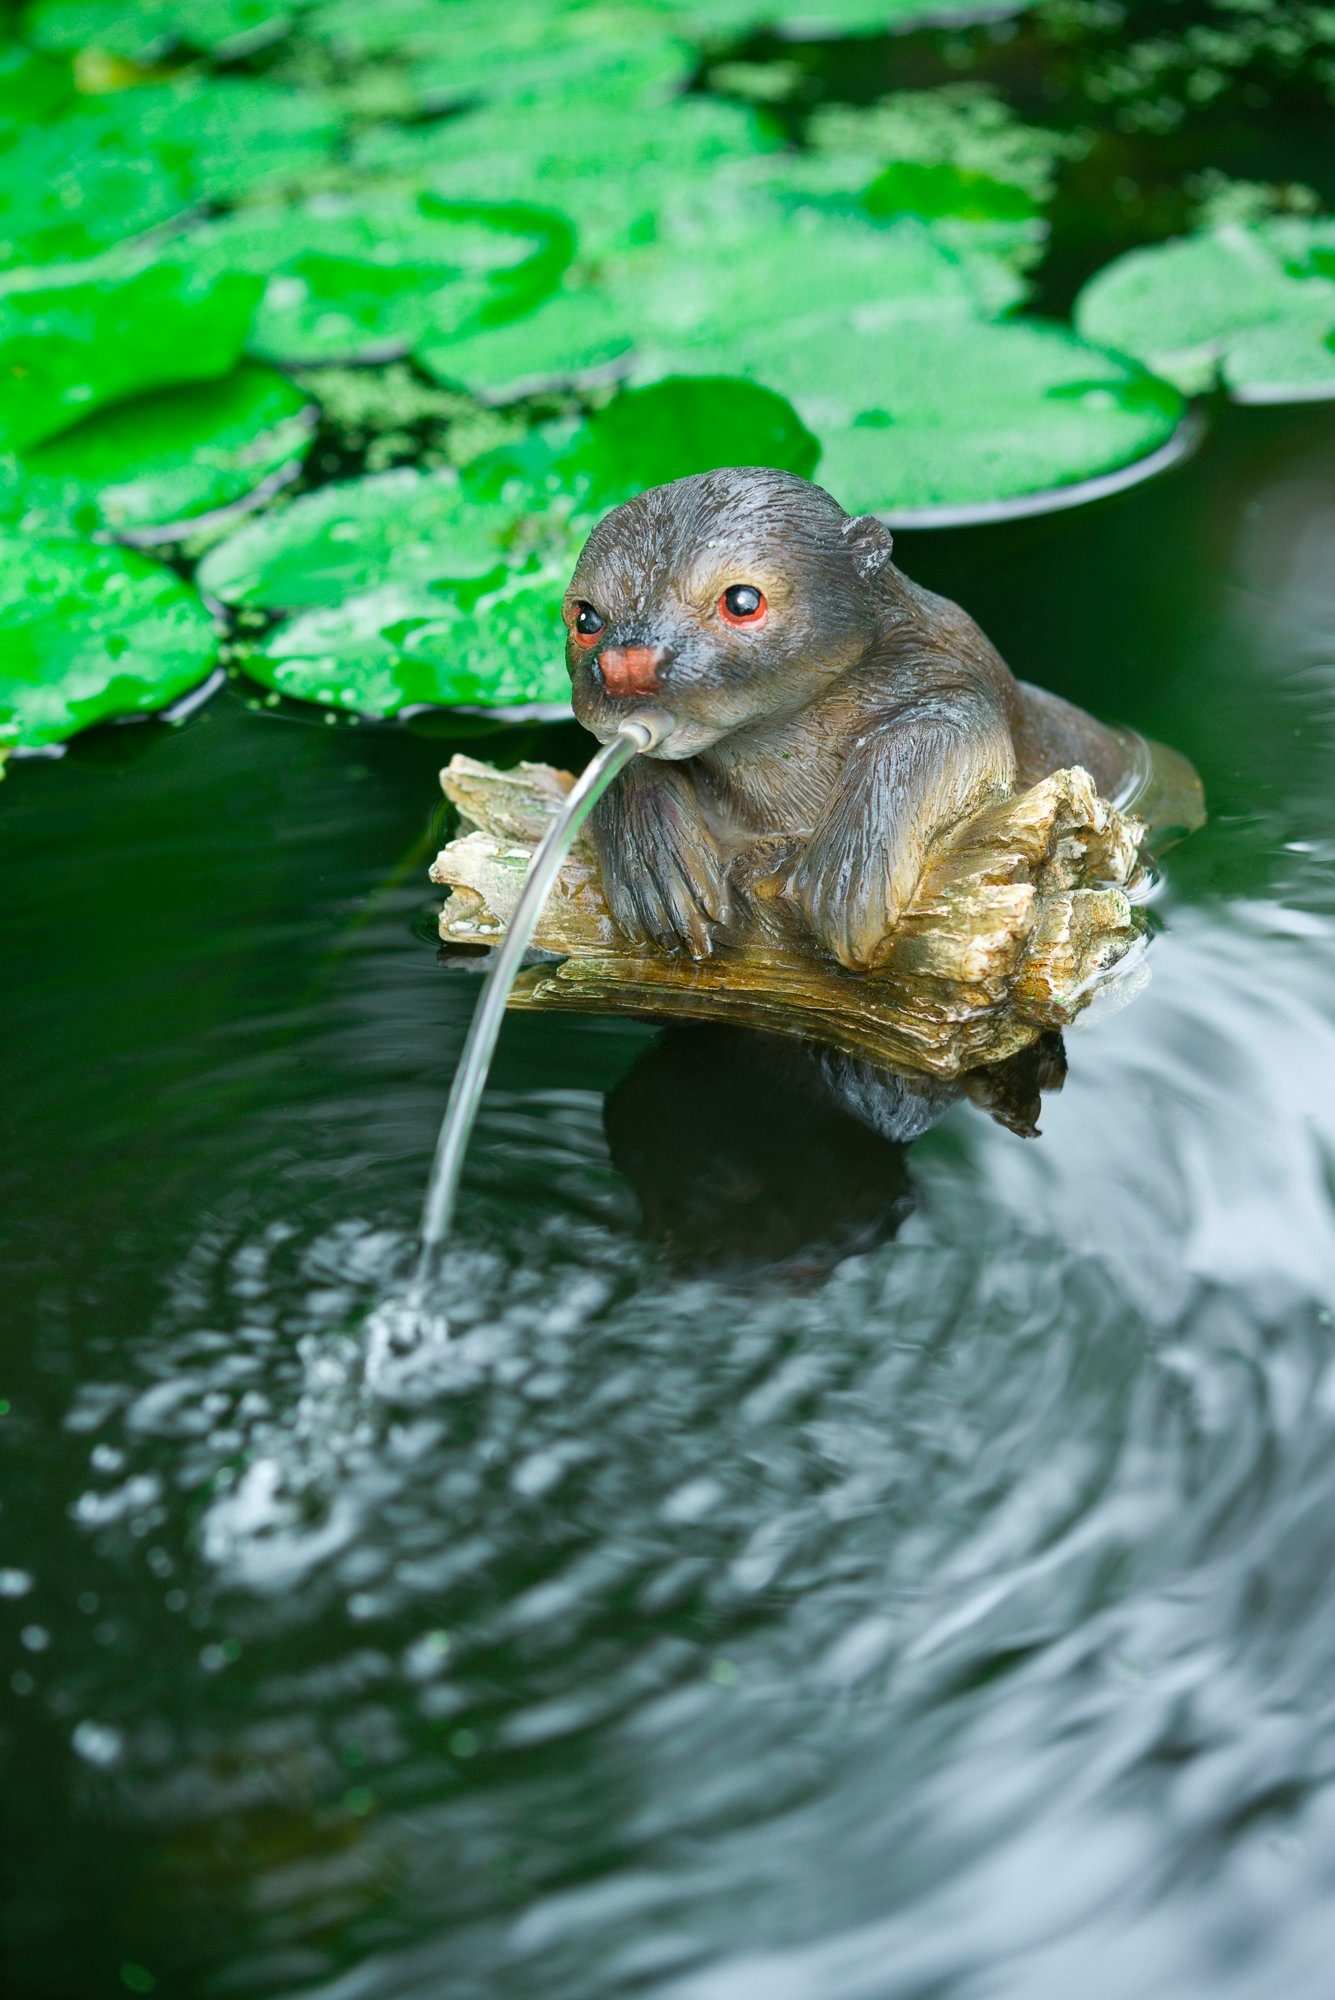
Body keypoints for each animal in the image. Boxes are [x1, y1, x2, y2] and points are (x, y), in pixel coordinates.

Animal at [562, 466, 1138, 969]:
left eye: (742, 601)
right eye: (586, 618)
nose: (627, 667)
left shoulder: (959, 683)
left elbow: (932, 732)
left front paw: (850, 869)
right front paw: (652, 857)